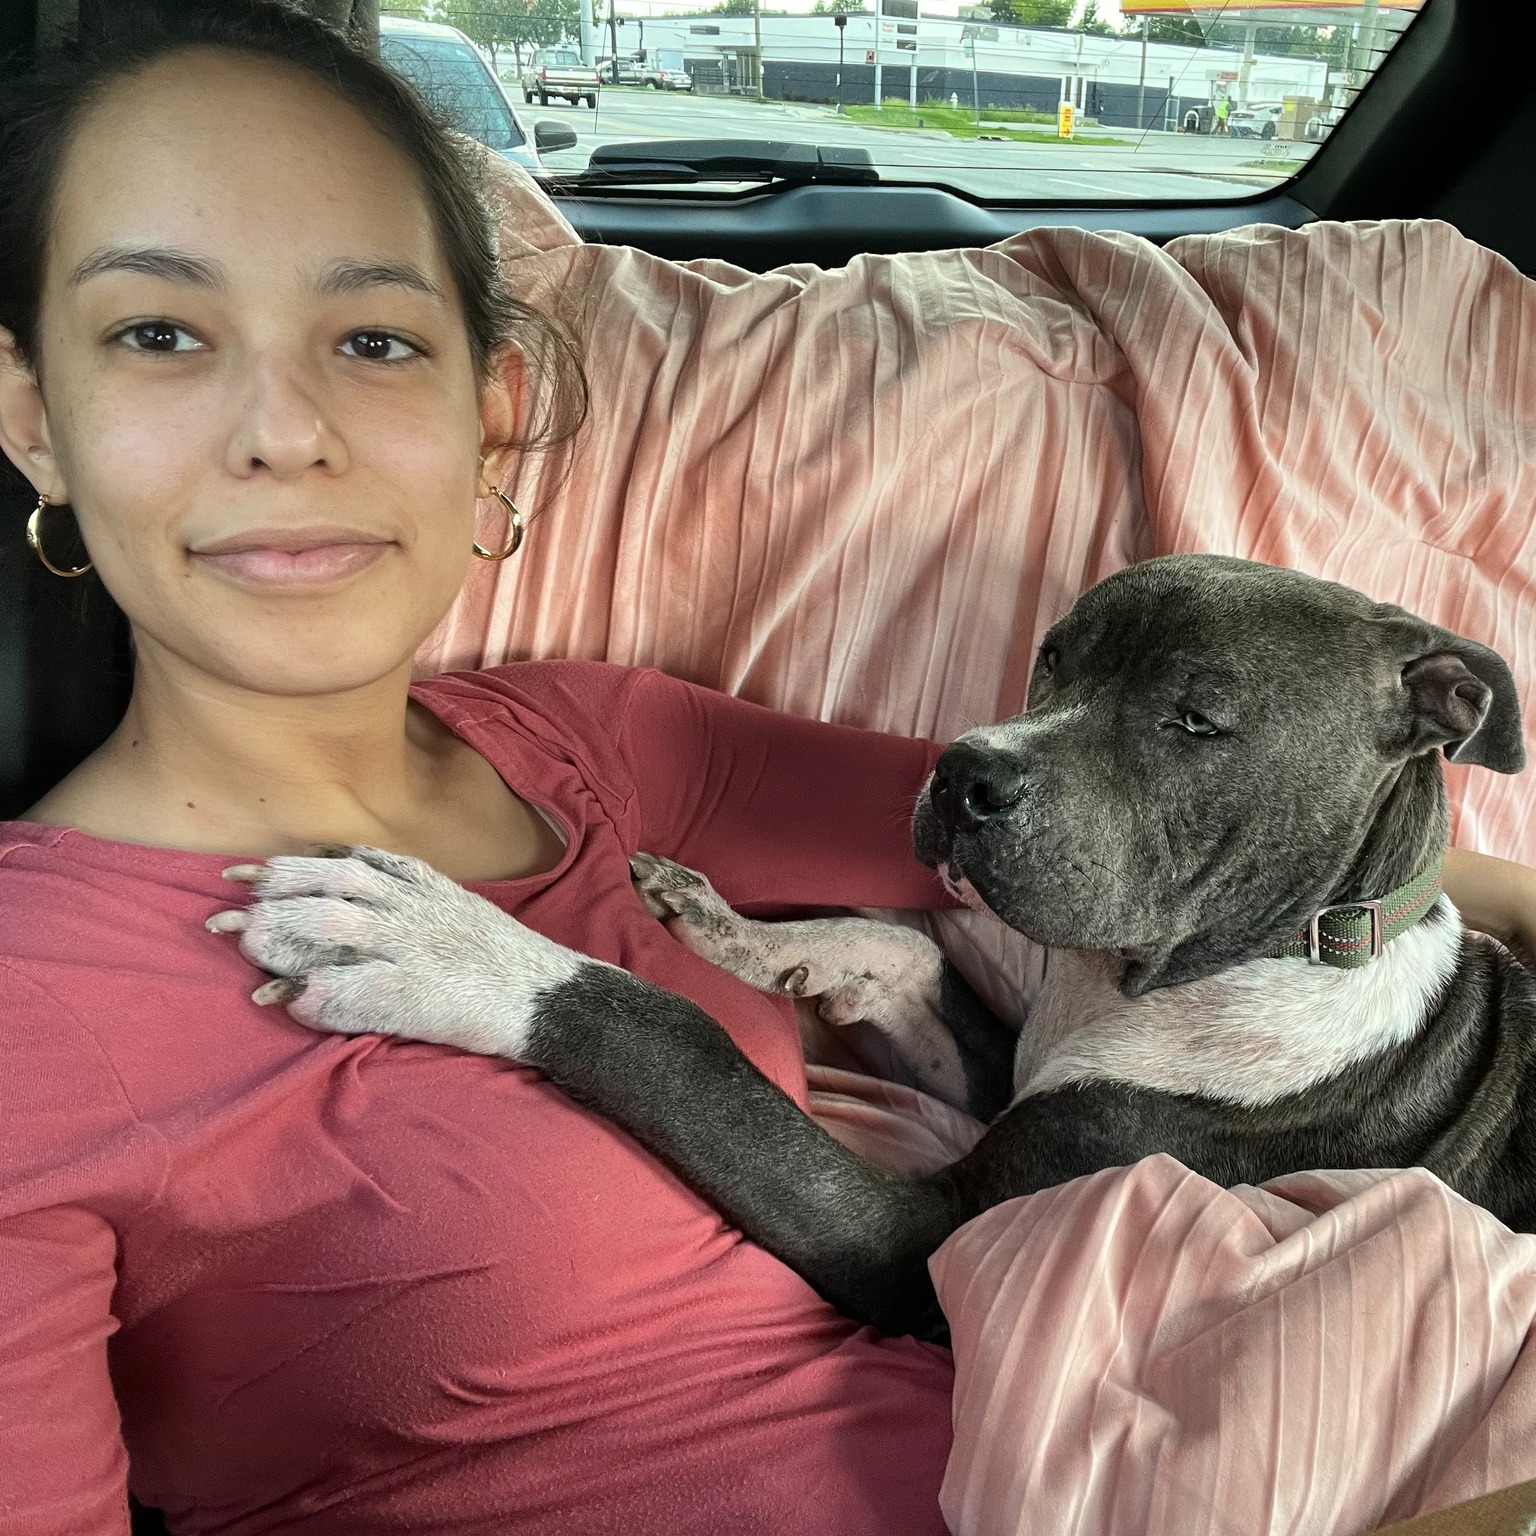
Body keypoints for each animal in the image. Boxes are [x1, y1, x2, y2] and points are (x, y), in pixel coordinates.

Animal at [213, 559, 1536, 1339]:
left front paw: (453, 951)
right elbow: (906, 952)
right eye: (1055, 652)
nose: (962, 773)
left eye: (1198, 718)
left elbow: (673, 1039)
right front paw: (739, 934)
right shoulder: (1007, 1074)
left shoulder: (923, 1240)